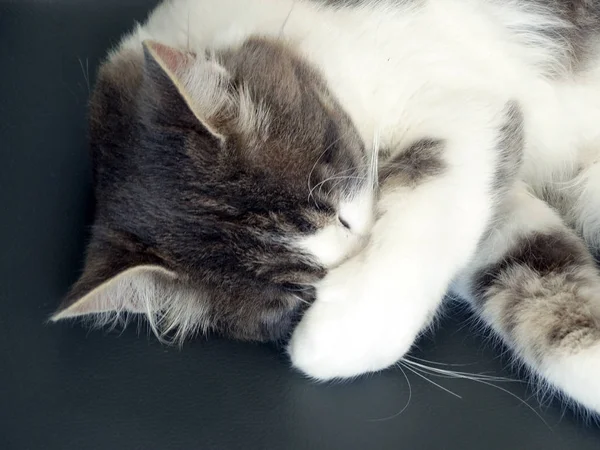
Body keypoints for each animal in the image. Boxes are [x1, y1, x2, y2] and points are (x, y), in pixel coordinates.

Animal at [49, 0, 600, 414]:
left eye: (334, 204)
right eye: (300, 292)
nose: (363, 243)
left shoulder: (469, 106)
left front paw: (341, 333)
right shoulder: (500, 203)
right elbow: (539, 284)